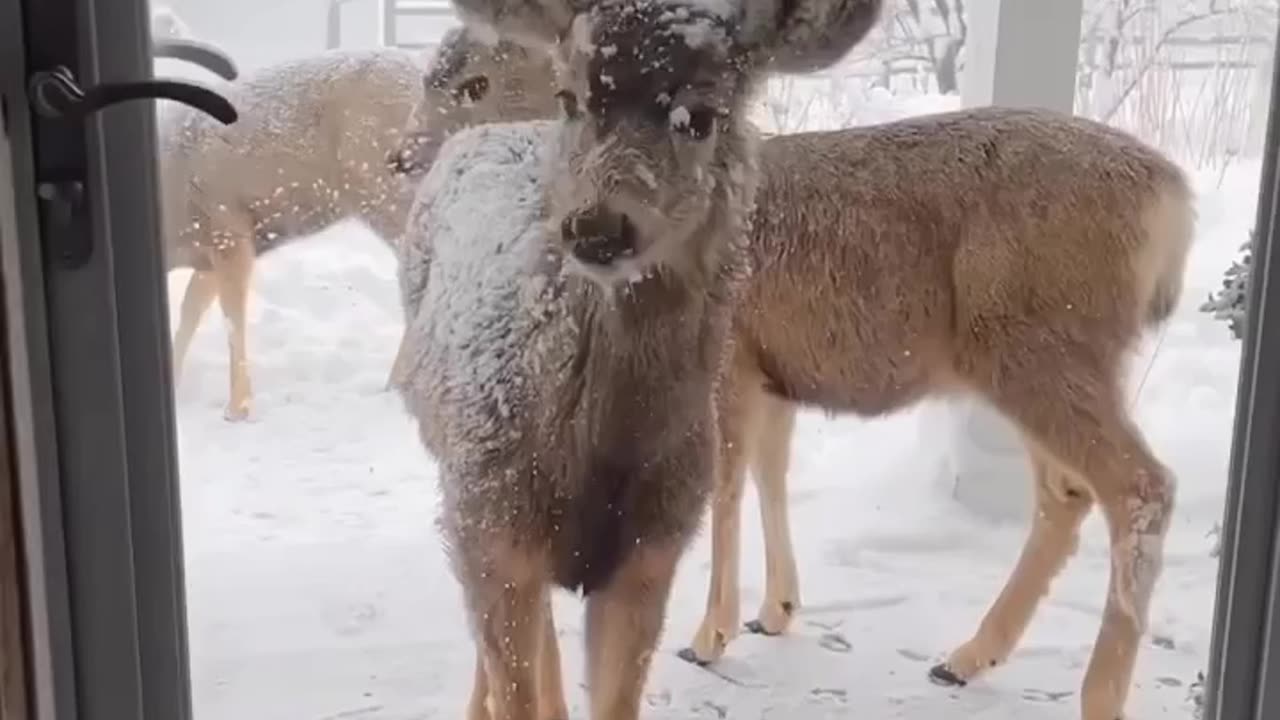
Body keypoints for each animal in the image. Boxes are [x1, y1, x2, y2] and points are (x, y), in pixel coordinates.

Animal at [160, 49, 424, 420]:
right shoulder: (206, 253)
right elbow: (190, 312)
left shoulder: (228, 224)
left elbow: (232, 316)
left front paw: (238, 408)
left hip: (381, 186)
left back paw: (398, 384)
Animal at [394, 1, 885, 717]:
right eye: (571, 96)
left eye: (701, 116)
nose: (595, 227)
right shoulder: (489, 524)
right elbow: (514, 675)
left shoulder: (653, 552)